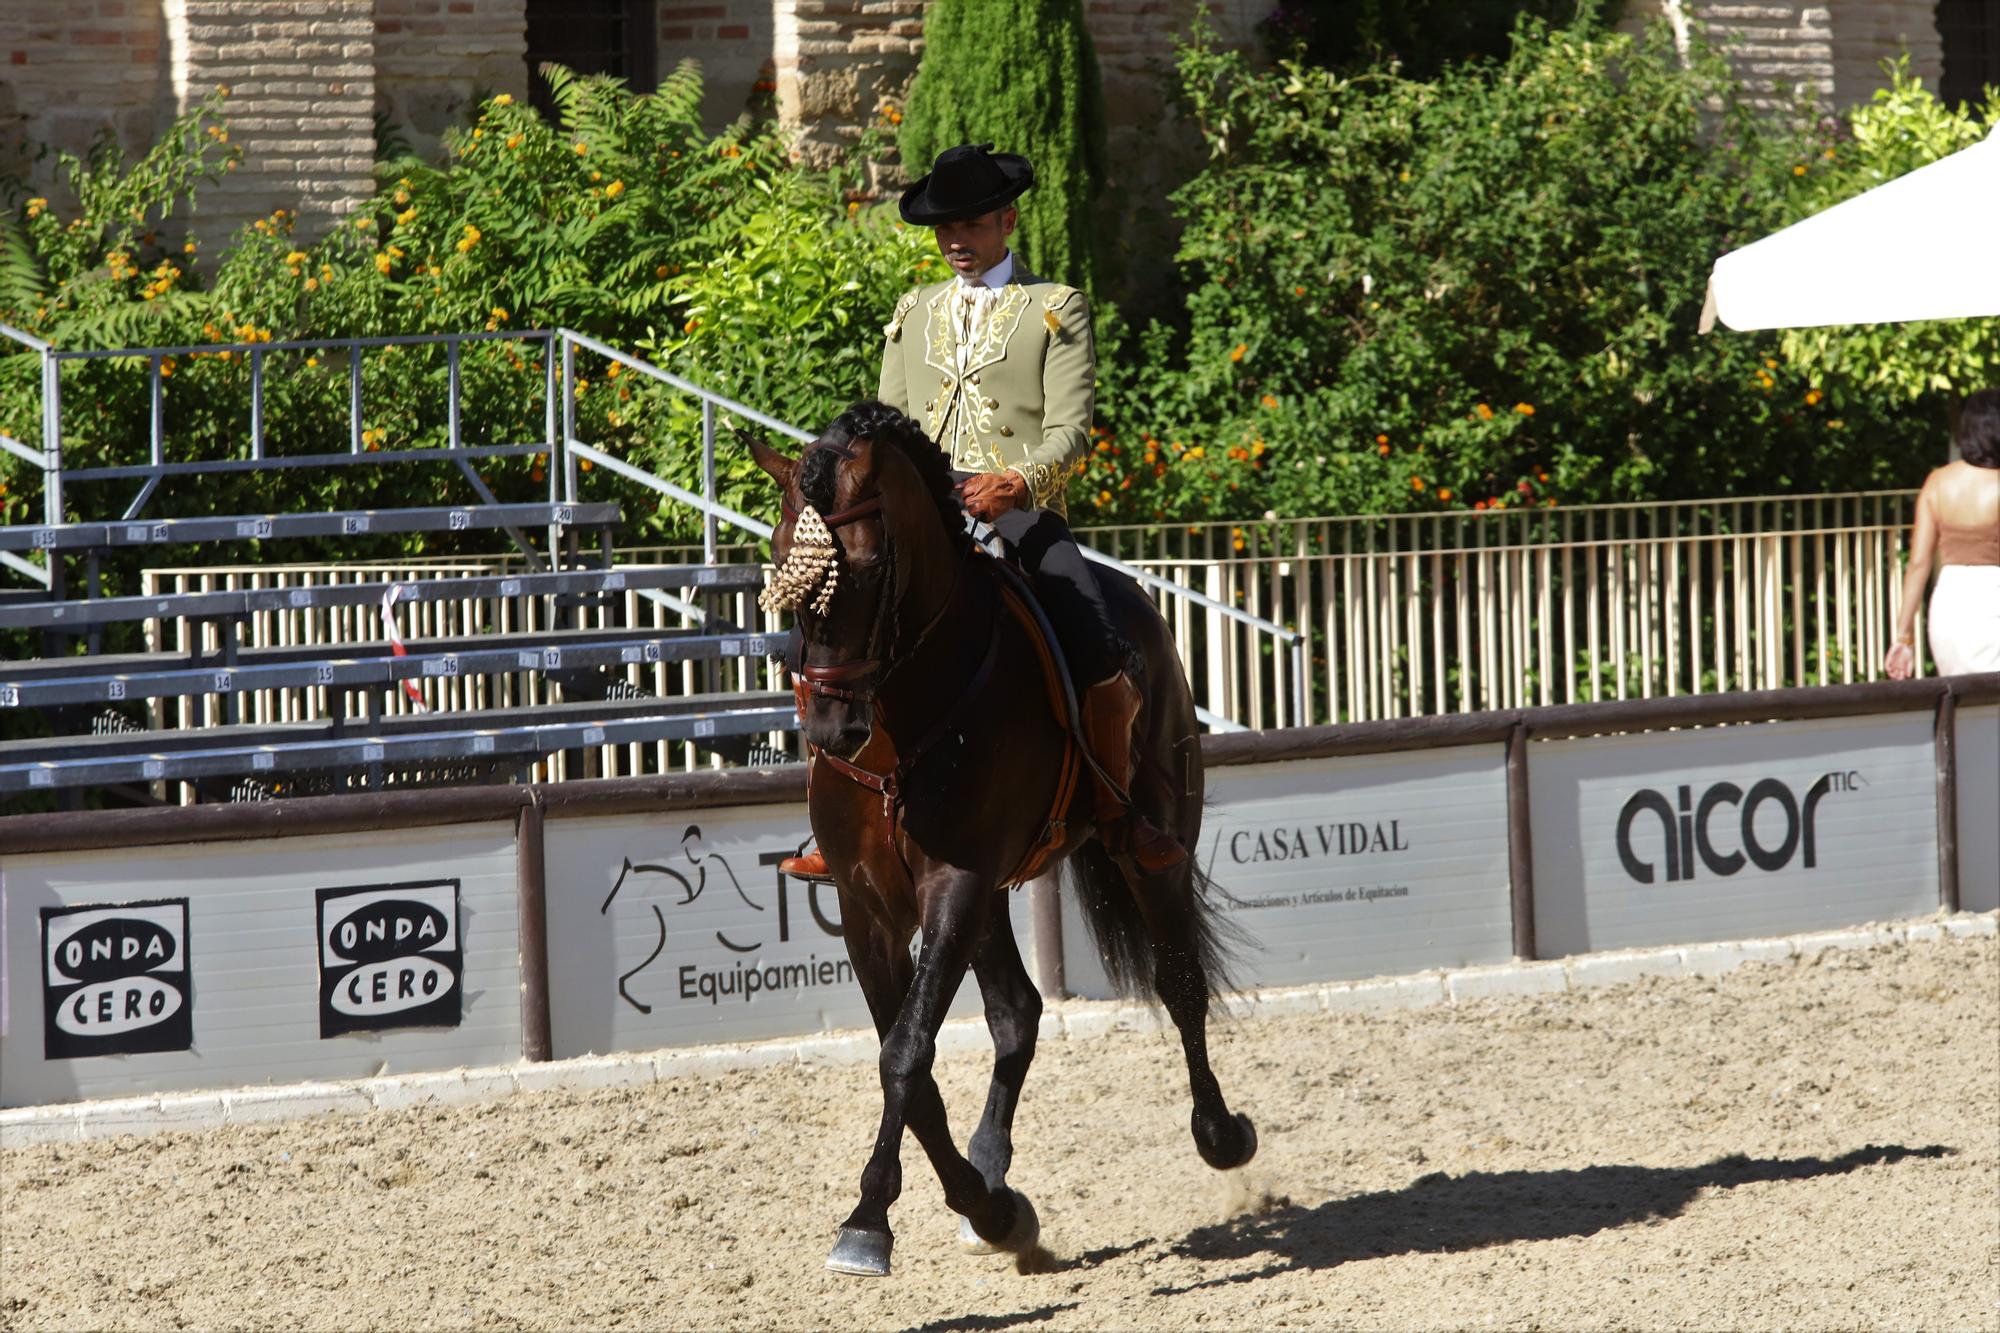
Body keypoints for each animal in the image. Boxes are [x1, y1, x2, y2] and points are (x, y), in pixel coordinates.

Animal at [744, 400, 1256, 1272]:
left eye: (871, 567)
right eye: (783, 562)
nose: (833, 730)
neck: (907, 720)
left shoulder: (955, 883)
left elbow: (906, 1051)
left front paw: (868, 1220)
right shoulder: (867, 903)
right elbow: (911, 1062)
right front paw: (984, 1207)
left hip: (1145, 852)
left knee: (1179, 983)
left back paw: (1222, 1135)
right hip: (990, 895)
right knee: (1018, 1011)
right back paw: (993, 1181)